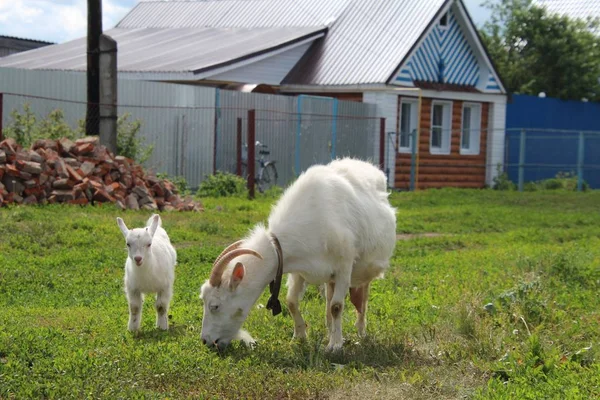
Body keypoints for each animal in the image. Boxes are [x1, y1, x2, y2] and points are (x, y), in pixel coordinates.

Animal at [199, 158, 396, 352]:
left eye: (214, 306)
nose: (206, 341)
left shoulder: (344, 266)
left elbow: (336, 306)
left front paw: (335, 345)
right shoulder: (298, 270)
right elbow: (292, 301)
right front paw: (299, 336)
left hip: (363, 268)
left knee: (362, 298)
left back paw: (360, 332)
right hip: (330, 278)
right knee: (328, 299)